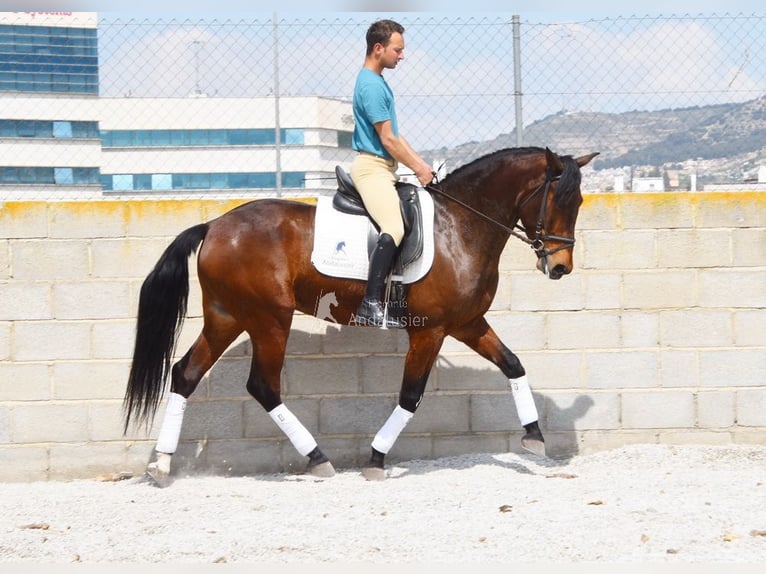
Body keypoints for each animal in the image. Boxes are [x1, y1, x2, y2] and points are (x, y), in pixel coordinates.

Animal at [123, 146, 598, 486]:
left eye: (578, 202)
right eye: (559, 200)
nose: (560, 267)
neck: (460, 226)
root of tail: (214, 226)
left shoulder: (466, 324)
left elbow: (513, 365)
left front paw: (534, 437)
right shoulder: (431, 332)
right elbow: (411, 396)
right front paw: (376, 457)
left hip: (227, 317)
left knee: (185, 373)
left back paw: (162, 465)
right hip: (269, 320)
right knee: (263, 385)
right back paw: (318, 458)